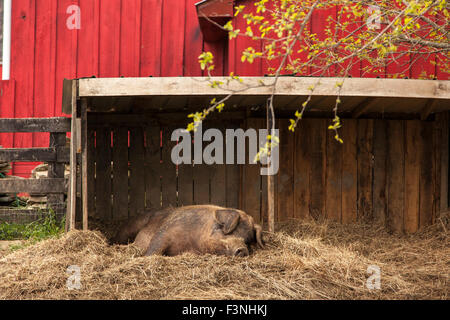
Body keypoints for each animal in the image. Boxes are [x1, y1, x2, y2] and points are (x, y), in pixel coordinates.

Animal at [112, 205, 264, 258]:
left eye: (247, 241)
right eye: (232, 232)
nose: (243, 249)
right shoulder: (166, 231)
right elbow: (155, 246)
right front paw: (145, 257)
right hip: (130, 226)